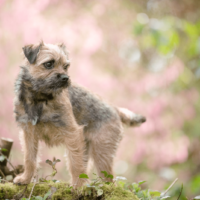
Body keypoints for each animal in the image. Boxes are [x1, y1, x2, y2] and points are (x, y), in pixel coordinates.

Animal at [13, 42, 146, 188]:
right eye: (49, 64)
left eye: (66, 66)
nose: (65, 78)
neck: (40, 99)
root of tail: (114, 108)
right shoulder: (28, 134)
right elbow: (29, 158)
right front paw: (25, 179)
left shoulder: (72, 133)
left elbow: (75, 164)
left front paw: (78, 187)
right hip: (88, 149)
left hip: (102, 152)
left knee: (109, 179)